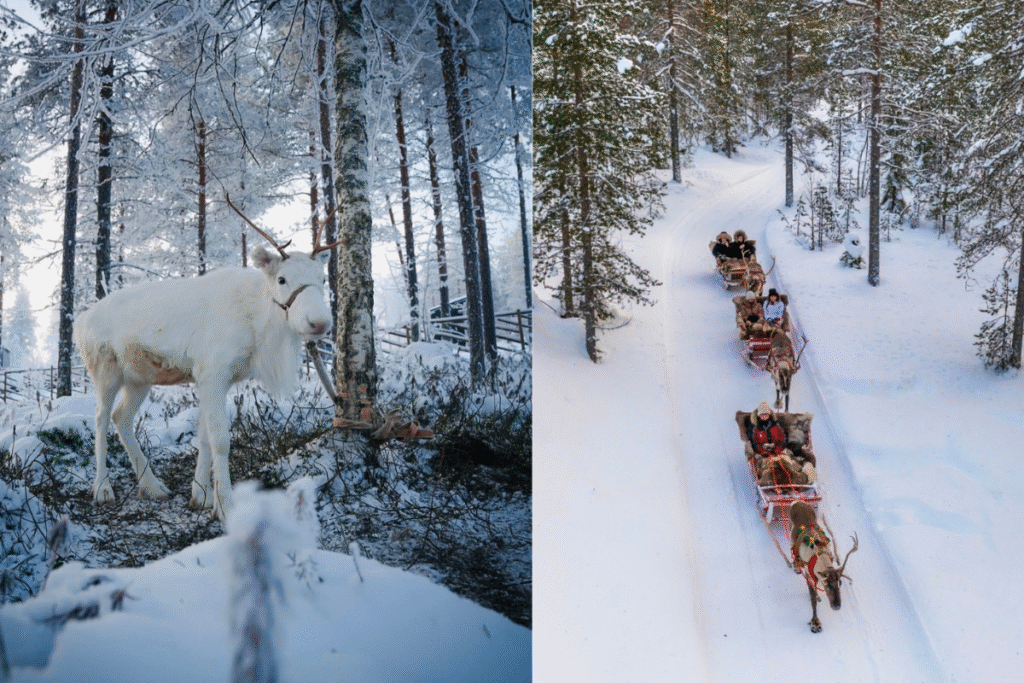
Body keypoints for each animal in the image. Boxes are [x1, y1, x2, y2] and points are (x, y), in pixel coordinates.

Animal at [73, 195, 341, 521]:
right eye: (281, 279)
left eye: (322, 278)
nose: (320, 323)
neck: (258, 323)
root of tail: (80, 321)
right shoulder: (214, 373)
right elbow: (220, 440)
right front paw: (224, 504)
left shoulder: (212, 378)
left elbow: (202, 435)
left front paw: (200, 495)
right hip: (105, 370)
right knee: (100, 419)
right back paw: (103, 488)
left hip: (139, 377)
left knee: (120, 417)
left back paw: (152, 485)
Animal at [788, 501, 858, 633]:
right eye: (826, 583)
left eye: (840, 583)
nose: (837, 606)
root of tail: (797, 502)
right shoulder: (809, 577)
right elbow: (813, 601)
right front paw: (815, 623)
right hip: (791, 537)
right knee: (792, 552)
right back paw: (795, 566)